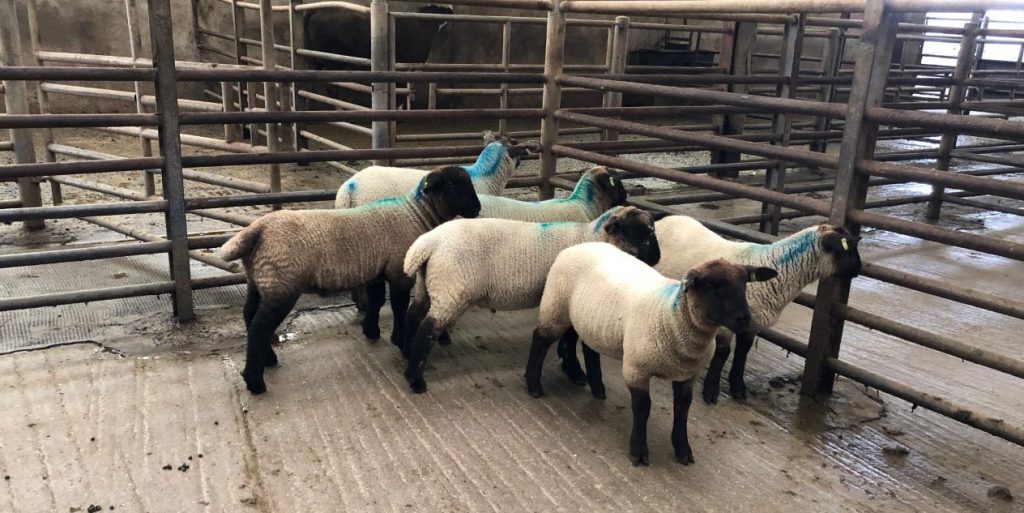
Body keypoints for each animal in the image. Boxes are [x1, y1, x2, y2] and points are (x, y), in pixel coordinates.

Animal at [219, 166, 481, 395]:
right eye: (450, 183)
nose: (477, 208)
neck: (415, 214)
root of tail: (257, 230)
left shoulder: (377, 271)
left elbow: (376, 301)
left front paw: (371, 331)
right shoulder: (398, 270)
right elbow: (398, 307)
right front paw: (397, 338)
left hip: (258, 281)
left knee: (249, 316)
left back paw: (268, 359)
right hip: (280, 286)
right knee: (259, 327)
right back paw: (255, 382)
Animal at [400, 206, 661, 394]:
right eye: (643, 234)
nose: (657, 258)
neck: (591, 237)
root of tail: (427, 244)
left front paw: (571, 369)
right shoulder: (564, 298)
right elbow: (570, 339)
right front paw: (575, 371)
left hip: (428, 284)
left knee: (412, 314)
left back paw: (405, 351)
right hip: (451, 289)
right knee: (428, 330)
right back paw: (415, 379)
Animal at [525, 241, 777, 465]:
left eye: (745, 284)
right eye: (711, 286)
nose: (745, 319)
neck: (671, 316)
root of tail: (575, 246)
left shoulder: (688, 374)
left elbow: (683, 408)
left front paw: (682, 450)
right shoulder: (636, 369)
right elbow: (642, 408)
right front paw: (638, 452)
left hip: (589, 319)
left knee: (586, 345)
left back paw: (595, 387)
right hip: (555, 306)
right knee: (539, 340)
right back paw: (534, 385)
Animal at [560, 218, 862, 405]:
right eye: (844, 249)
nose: (859, 271)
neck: (776, 265)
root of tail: (668, 219)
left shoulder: (749, 322)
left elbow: (742, 354)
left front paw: (738, 387)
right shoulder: (727, 323)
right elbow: (723, 353)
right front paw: (711, 392)